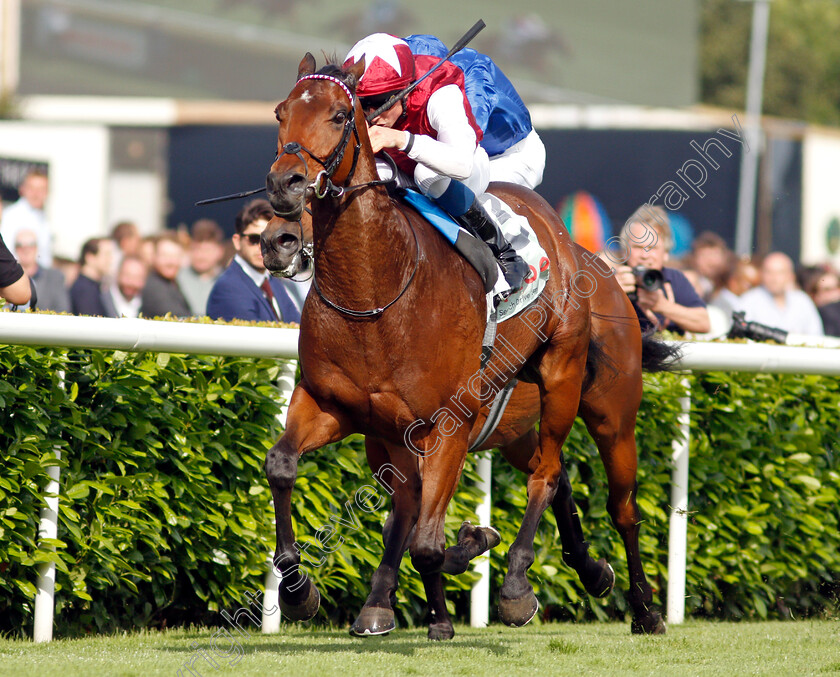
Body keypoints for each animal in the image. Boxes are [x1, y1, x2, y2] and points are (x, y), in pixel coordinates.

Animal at [262, 54, 676, 640]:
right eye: (281, 112)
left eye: (341, 116)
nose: (284, 188)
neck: (376, 293)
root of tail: (584, 256)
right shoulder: (334, 405)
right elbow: (284, 465)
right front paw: (299, 591)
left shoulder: (447, 423)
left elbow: (426, 538)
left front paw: (456, 583)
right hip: (508, 427)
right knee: (543, 476)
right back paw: (587, 572)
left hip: (591, 400)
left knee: (591, 493)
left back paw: (610, 602)